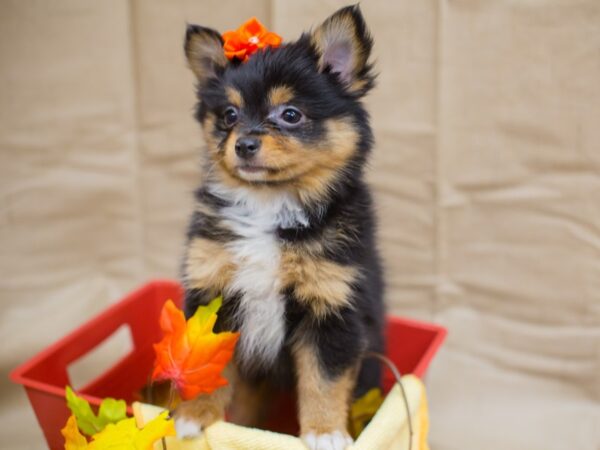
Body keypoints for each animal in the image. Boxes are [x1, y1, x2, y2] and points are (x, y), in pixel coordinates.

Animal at [178, 4, 384, 450]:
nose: (244, 144)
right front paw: (193, 417)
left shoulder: (332, 306)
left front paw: (325, 432)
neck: (269, 204)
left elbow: (323, 380)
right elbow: (205, 364)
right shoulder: (211, 292)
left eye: (290, 115)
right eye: (229, 115)